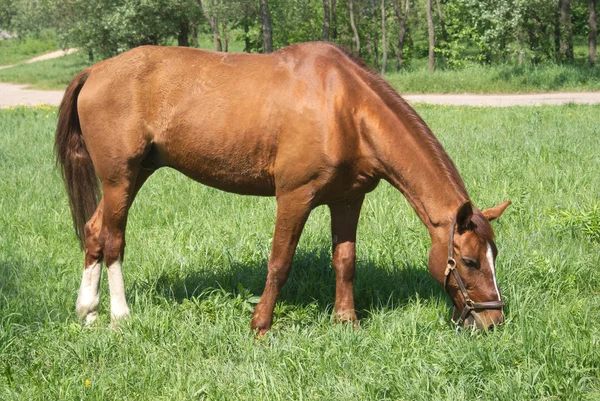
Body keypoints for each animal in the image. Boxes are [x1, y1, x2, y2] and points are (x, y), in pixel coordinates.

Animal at [55, 42, 510, 332]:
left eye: (494, 255)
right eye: (469, 261)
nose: (493, 320)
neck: (345, 108)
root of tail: (95, 71)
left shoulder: (348, 200)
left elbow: (345, 260)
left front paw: (346, 321)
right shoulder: (294, 197)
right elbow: (280, 262)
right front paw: (260, 325)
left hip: (134, 175)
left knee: (94, 232)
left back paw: (88, 312)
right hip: (120, 178)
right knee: (113, 240)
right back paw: (119, 316)